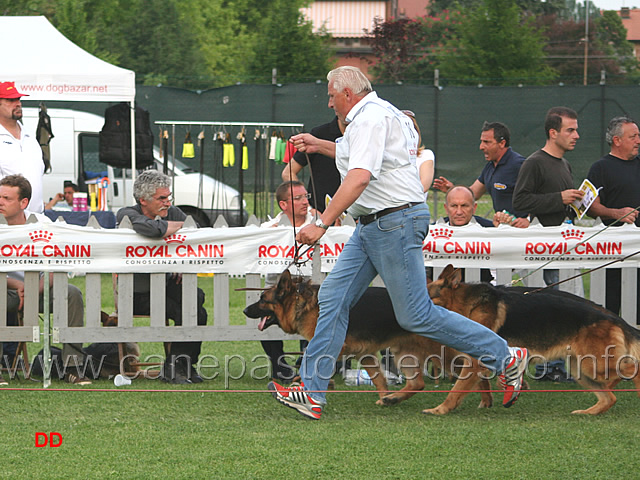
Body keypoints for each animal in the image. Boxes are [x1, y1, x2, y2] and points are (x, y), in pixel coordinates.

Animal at [242, 270, 492, 408]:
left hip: (441, 353)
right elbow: (379, 381)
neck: (302, 302)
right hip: (405, 353)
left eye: (262, 299)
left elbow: (312, 364)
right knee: (418, 383)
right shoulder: (367, 354)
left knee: (475, 367)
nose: (244, 310)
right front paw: (384, 397)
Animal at [428, 264, 640, 414]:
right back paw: (588, 412)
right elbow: (481, 384)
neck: (468, 306)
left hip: (594, 365)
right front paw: (486, 403)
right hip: (581, 369)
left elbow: (457, 389)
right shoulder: (477, 361)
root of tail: (615, 318)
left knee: (633, 369)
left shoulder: (474, 361)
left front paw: (440, 409)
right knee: (609, 398)